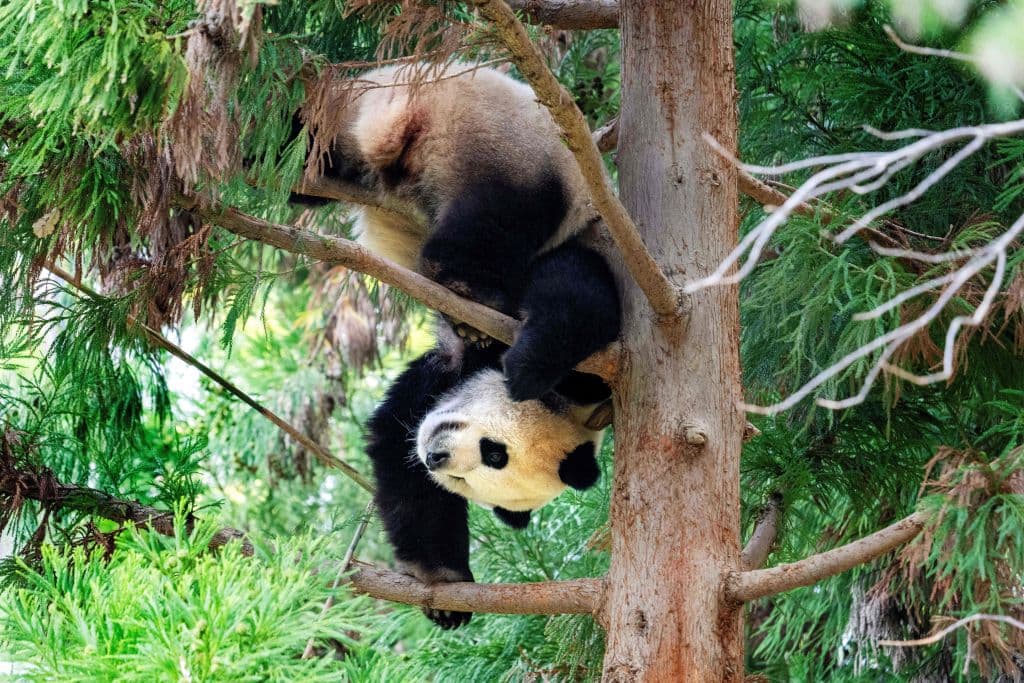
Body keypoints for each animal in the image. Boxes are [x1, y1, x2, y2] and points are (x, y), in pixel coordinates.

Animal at [296, 62, 621, 402]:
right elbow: (579, 302)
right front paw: (526, 373)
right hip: (511, 157)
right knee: (496, 220)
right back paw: (466, 289)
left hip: (350, 118)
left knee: (314, 142)